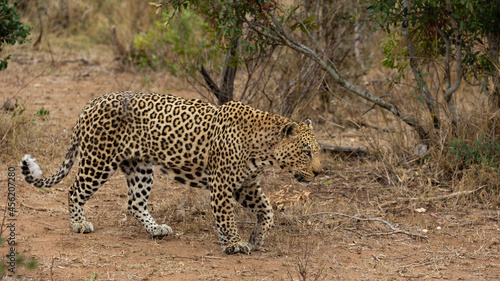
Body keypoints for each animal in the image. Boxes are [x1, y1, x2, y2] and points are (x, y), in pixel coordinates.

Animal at [20, 91, 320, 254]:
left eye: (317, 151)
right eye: (306, 152)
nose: (319, 172)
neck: (264, 151)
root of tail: (90, 103)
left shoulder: (245, 185)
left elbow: (267, 210)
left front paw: (256, 237)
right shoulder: (222, 184)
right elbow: (226, 216)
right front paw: (235, 244)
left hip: (140, 167)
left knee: (135, 203)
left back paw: (156, 230)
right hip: (98, 160)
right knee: (74, 190)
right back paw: (78, 224)